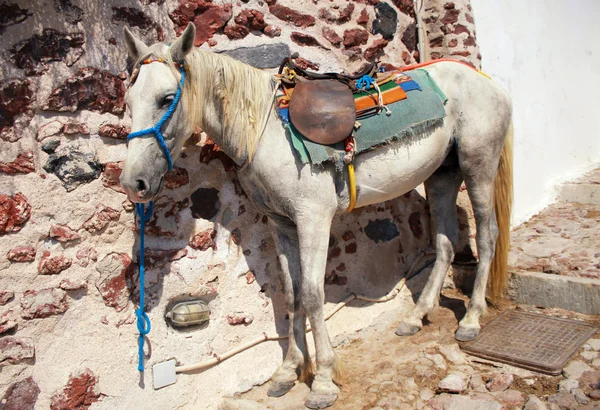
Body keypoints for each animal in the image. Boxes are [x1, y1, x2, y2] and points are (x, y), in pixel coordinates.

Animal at [120, 24, 510, 408]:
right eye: (128, 101)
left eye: (166, 98)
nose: (132, 183)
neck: (263, 134)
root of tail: (485, 80)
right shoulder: (282, 225)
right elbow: (291, 295)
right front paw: (288, 371)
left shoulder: (313, 220)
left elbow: (311, 294)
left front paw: (322, 380)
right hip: (443, 176)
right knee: (446, 243)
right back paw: (417, 317)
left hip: (478, 166)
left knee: (486, 235)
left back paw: (471, 319)